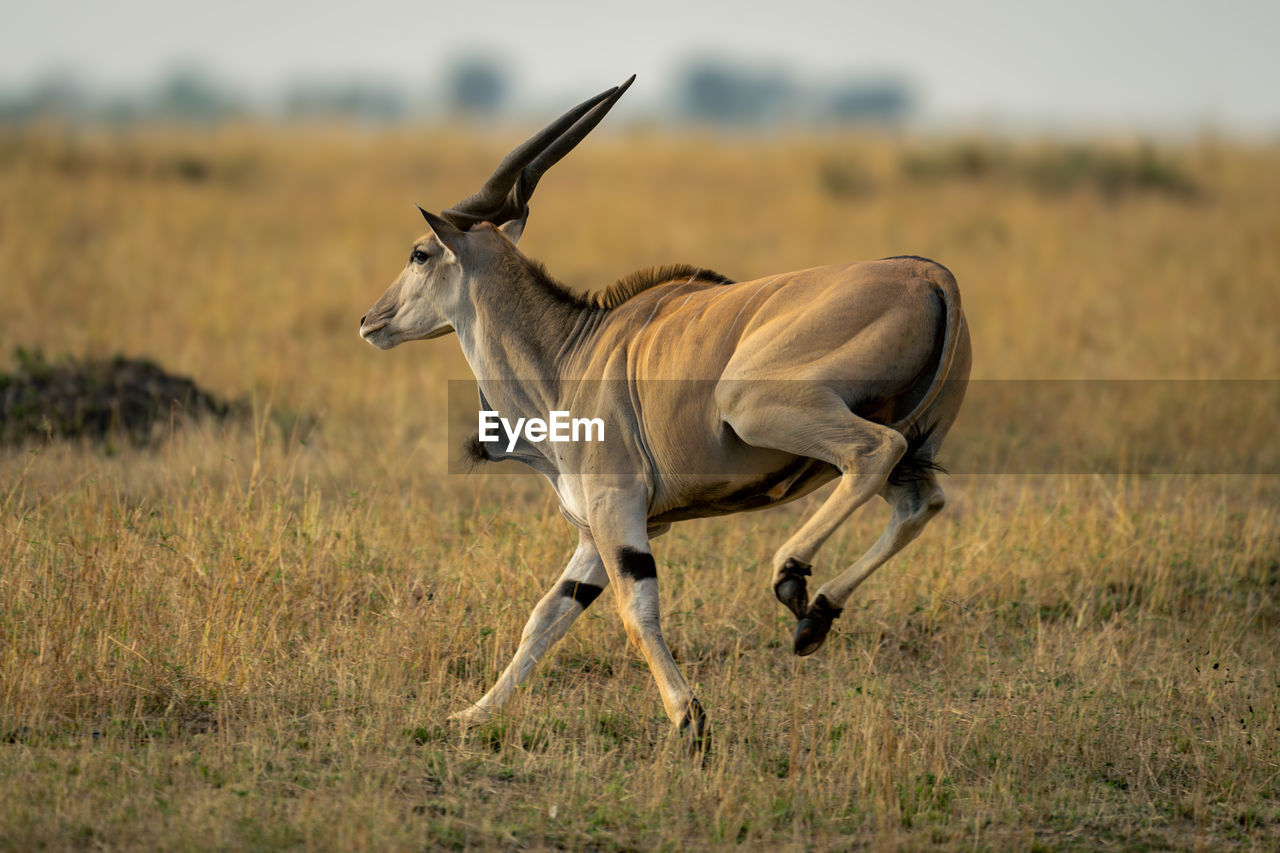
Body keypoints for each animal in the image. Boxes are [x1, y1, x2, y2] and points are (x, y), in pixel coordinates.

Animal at [358, 78, 967, 742]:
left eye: (419, 254)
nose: (371, 320)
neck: (571, 352)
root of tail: (931, 276)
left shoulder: (617, 506)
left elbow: (635, 610)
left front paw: (689, 719)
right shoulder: (605, 528)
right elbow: (546, 616)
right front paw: (473, 713)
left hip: (759, 408)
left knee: (874, 453)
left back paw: (791, 575)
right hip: (909, 446)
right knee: (921, 501)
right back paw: (818, 616)